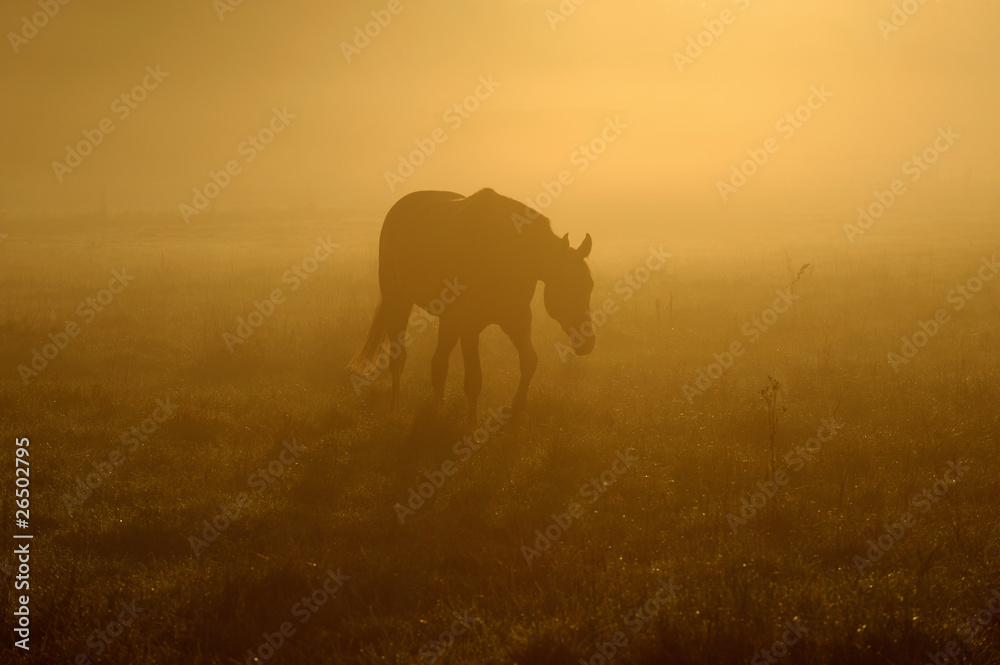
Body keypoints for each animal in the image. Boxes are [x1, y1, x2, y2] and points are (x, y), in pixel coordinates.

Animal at [349, 188, 595, 420]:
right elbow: (474, 379)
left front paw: (515, 409)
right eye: (567, 287)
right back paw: (395, 411)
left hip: (447, 318)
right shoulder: (470, 326)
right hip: (398, 301)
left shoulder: (516, 319)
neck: (509, 254)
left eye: (590, 286)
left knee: (439, 363)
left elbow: (529, 361)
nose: (587, 343)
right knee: (398, 359)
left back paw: (438, 410)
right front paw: (472, 424)